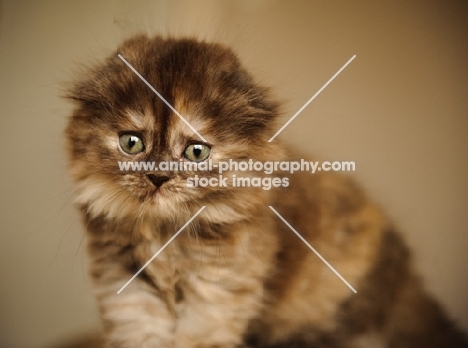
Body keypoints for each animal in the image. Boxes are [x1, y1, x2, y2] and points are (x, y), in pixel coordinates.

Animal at [65, 34, 468, 348]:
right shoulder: (129, 289)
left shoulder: (217, 293)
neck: (168, 235)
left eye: (196, 152)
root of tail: (405, 276)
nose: (158, 177)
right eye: (131, 143)